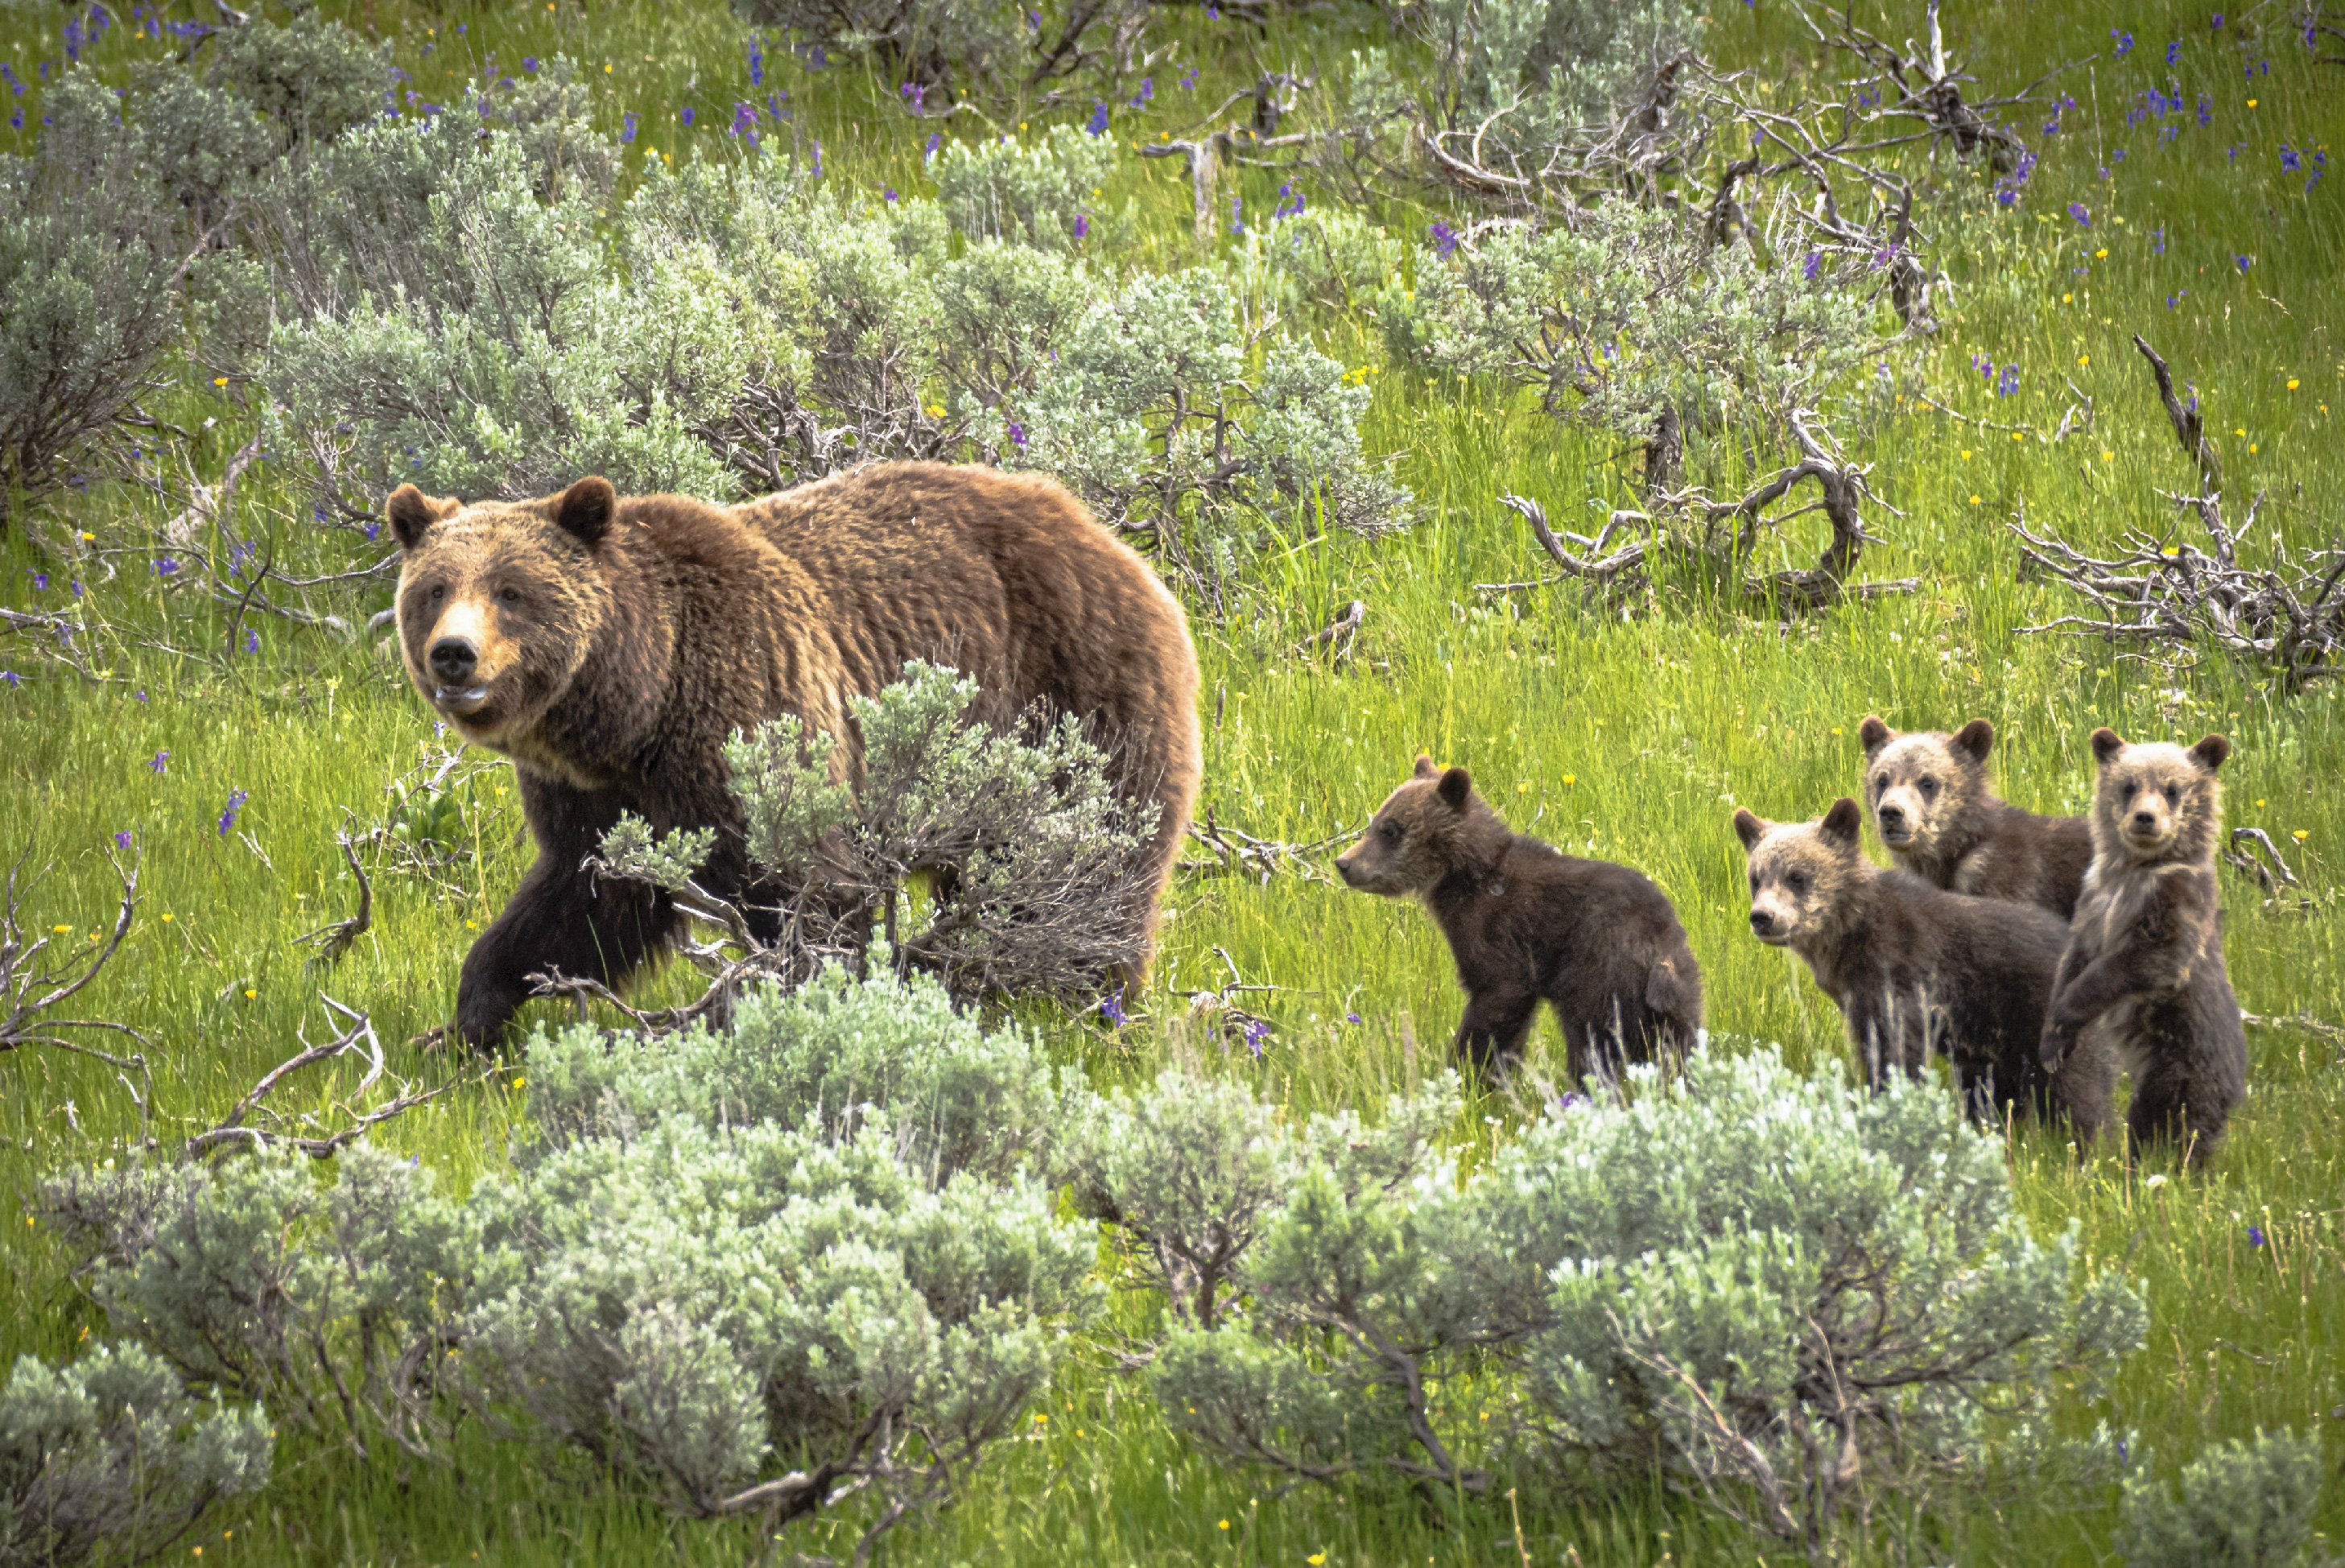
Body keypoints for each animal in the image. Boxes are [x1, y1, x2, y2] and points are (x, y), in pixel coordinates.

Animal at [391, 459, 1200, 1045]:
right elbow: (583, 901)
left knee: (1088, 864)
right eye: (435, 588)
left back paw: (1083, 994)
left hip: (1072, 699)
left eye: (511, 591)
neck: (637, 705)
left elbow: (811, 888)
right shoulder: (597, 796)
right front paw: (469, 1020)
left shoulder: (749, 712)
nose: (453, 655)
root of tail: (1113, 541)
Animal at [1341, 754, 1707, 1078]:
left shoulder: (1499, 932)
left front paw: (1469, 1071)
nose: (1344, 863)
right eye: (1375, 821)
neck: (1467, 876)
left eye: (1391, 829)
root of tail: (1659, 950)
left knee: (1592, 1045)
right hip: (1682, 995)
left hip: (1601, 972)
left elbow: (1497, 998)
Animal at [1744, 806, 2110, 1124]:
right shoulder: (1858, 999)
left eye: (1797, 876)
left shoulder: (1900, 974)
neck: (1849, 940)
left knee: (2076, 1093)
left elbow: (1898, 1052)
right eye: (1756, 877)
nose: (1763, 917)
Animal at [2045, 731, 2241, 1162]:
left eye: (2172, 789)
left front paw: (2068, 1012)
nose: (2145, 818)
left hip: (2180, 1061)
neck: (2135, 871)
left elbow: (2148, 958)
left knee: (2169, 1123)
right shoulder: (2093, 900)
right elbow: (2073, 961)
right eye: (2129, 785)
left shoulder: (2174, 900)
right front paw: (2052, 1041)